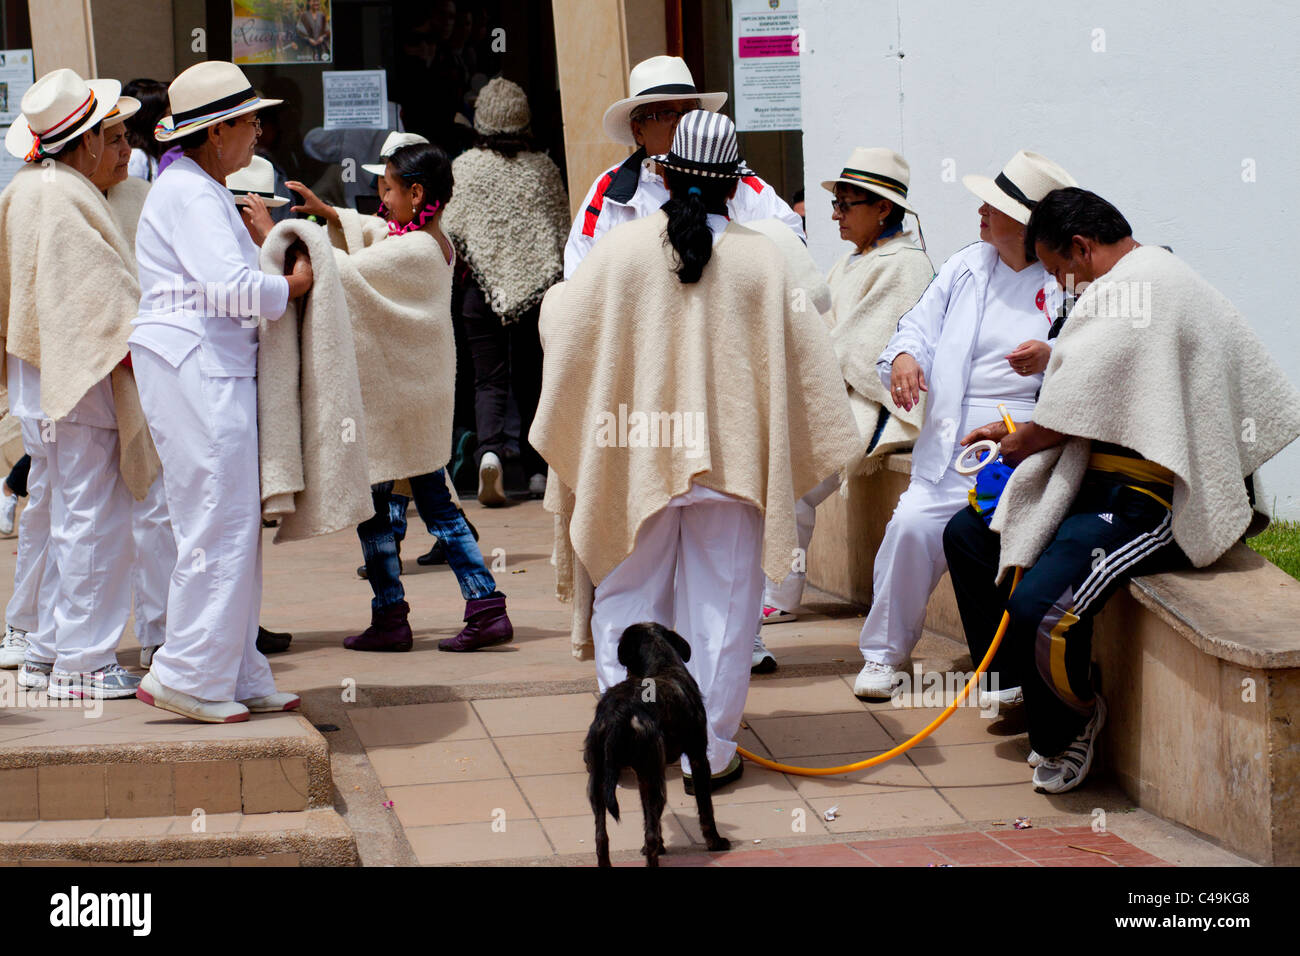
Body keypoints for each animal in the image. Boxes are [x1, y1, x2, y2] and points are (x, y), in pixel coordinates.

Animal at [587, 621, 733, 868]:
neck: (663, 664)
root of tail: (619, 713)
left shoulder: (643, 774)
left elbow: (648, 817)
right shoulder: (698, 758)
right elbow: (705, 807)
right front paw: (715, 841)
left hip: (599, 781)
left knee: (601, 838)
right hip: (655, 780)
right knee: (651, 835)